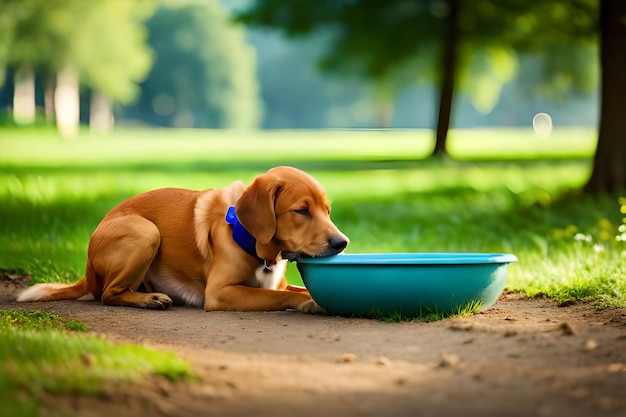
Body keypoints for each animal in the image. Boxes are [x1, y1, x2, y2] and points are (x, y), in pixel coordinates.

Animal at [15, 166, 346, 312]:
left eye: (328, 211)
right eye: (301, 210)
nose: (341, 243)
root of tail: (86, 265)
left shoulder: (273, 282)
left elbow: (292, 288)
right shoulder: (220, 293)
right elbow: (284, 296)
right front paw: (310, 302)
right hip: (145, 232)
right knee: (108, 294)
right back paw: (148, 300)